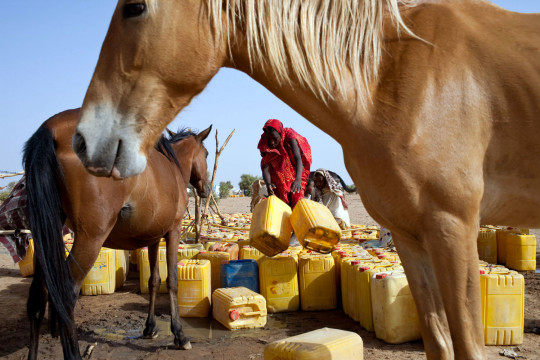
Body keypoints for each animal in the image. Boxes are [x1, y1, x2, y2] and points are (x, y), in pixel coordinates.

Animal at [24, 109, 211, 360]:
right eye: (207, 154)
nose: (206, 188)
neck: (174, 166)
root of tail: (50, 128)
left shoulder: (153, 238)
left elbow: (154, 280)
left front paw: (150, 328)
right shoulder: (173, 230)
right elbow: (171, 281)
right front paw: (179, 335)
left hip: (46, 240)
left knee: (36, 298)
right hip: (91, 238)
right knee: (66, 296)